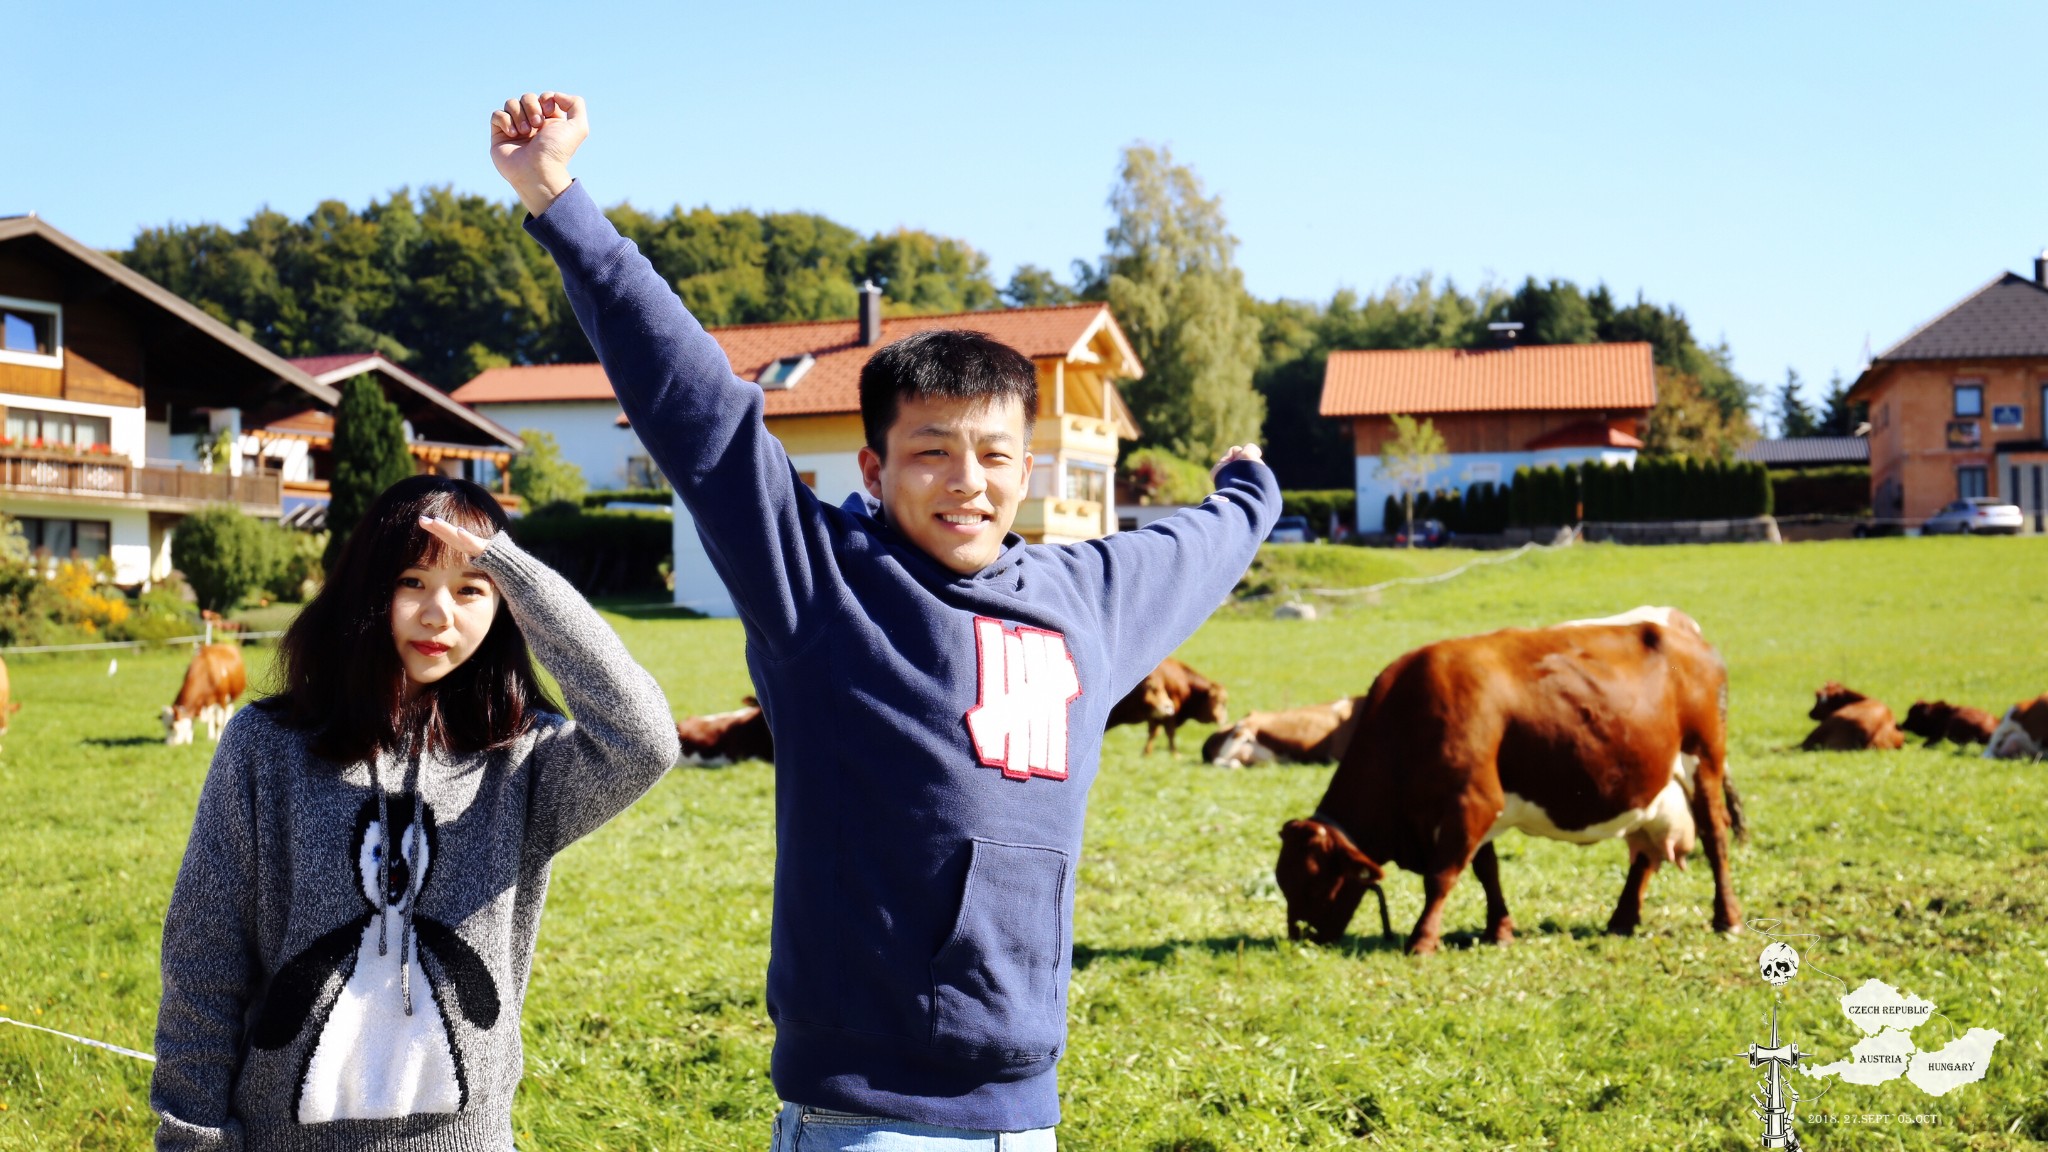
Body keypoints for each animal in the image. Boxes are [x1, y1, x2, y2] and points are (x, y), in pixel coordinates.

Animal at [1269, 619, 1736, 951]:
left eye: (1313, 882)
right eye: (1282, 880)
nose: (1300, 938)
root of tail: (1686, 637)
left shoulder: (1470, 802)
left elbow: (1441, 876)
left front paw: (1422, 940)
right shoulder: (1478, 807)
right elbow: (1486, 870)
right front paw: (1499, 929)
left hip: (1704, 760)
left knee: (1715, 837)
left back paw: (1727, 919)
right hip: (1652, 787)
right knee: (1644, 855)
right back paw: (1621, 921)